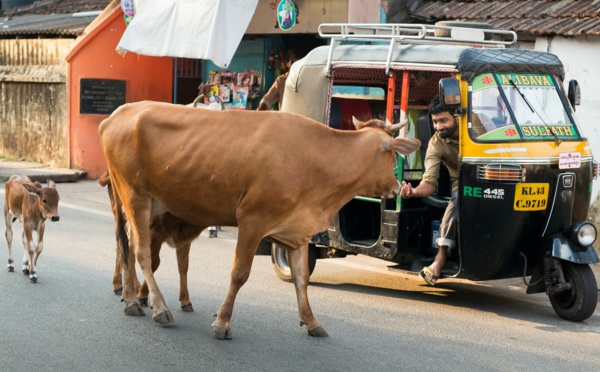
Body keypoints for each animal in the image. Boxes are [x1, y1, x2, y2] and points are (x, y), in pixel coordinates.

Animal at [98, 171, 200, 310]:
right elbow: (154, 261)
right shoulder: (155, 232)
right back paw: (126, 286)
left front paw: (186, 301)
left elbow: (183, 265)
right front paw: (143, 295)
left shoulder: (183, 237)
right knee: (125, 246)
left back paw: (123, 286)